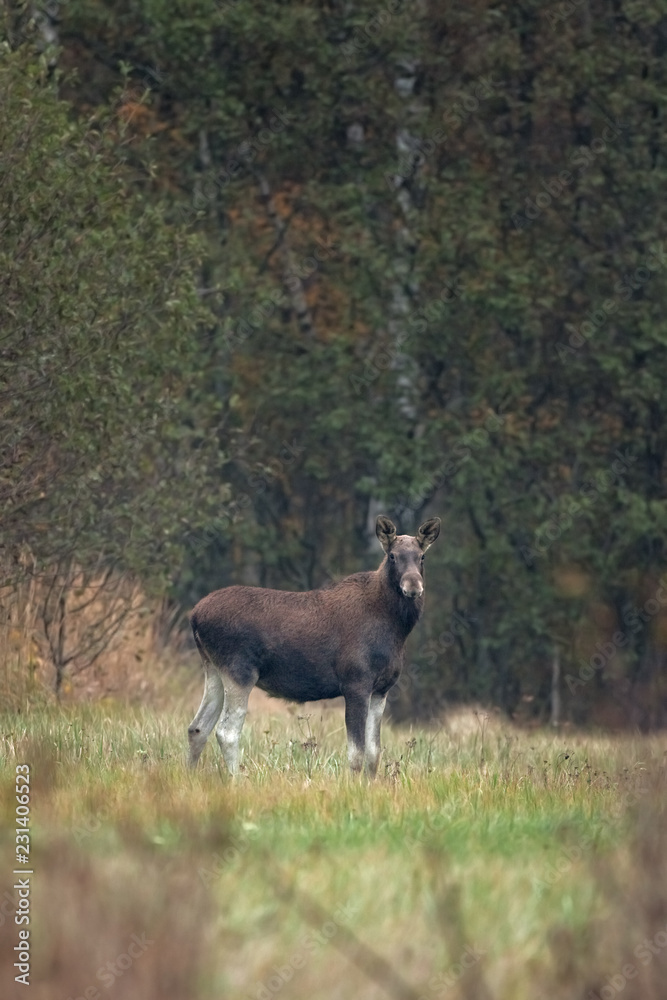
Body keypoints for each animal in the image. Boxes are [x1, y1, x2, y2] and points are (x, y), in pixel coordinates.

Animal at [188, 516, 440, 772]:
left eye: (422, 556)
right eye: (392, 556)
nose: (413, 586)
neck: (395, 630)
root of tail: (195, 615)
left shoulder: (381, 689)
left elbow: (373, 754)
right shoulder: (355, 683)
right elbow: (356, 754)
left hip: (214, 670)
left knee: (197, 728)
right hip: (240, 671)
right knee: (226, 732)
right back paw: (235, 778)